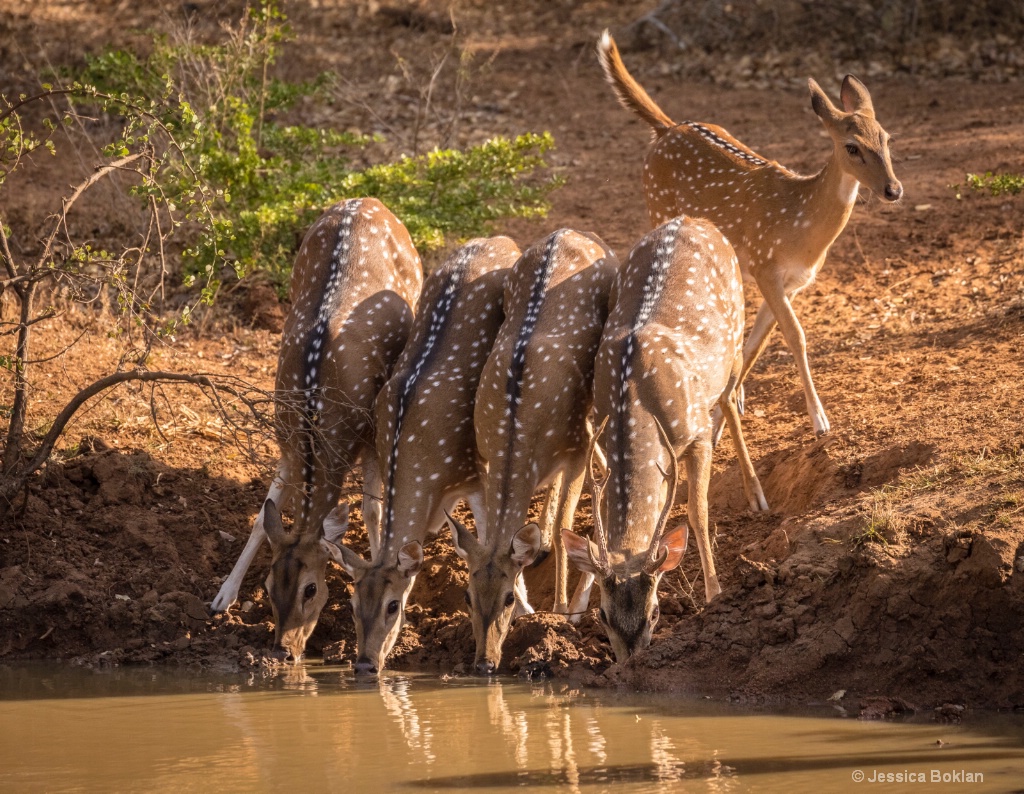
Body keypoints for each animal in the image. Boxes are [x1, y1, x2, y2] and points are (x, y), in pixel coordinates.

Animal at [209, 198, 421, 663]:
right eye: (268, 585)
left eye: (311, 588)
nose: (282, 651)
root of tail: (368, 200)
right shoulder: (285, 439)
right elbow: (262, 515)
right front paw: (223, 595)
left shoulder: (371, 432)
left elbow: (373, 510)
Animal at [327, 235, 520, 676]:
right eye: (350, 604)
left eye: (393, 606)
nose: (364, 665)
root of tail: (500, 238)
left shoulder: (475, 470)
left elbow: (490, 539)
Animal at [450, 226, 622, 672]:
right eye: (466, 596)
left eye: (508, 598)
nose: (484, 663)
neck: (518, 438)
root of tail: (571, 230)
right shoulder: (486, 457)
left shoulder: (574, 449)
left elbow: (565, 531)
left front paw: (563, 613)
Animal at [561, 217, 770, 663]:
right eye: (603, 617)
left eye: (656, 612)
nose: (630, 663)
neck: (637, 398)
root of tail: (694, 219)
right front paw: (574, 605)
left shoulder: (697, 434)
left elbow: (697, 513)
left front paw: (714, 594)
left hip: (735, 333)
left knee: (730, 398)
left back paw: (756, 493)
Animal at [598, 30, 901, 438]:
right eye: (852, 147)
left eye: (887, 138)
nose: (893, 189)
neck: (800, 224)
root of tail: (667, 127)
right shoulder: (764, 264)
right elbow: (796, 335)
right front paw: (819, 421)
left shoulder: (792, 281)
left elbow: (756, 343)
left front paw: (720, 419)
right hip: (658, 207)